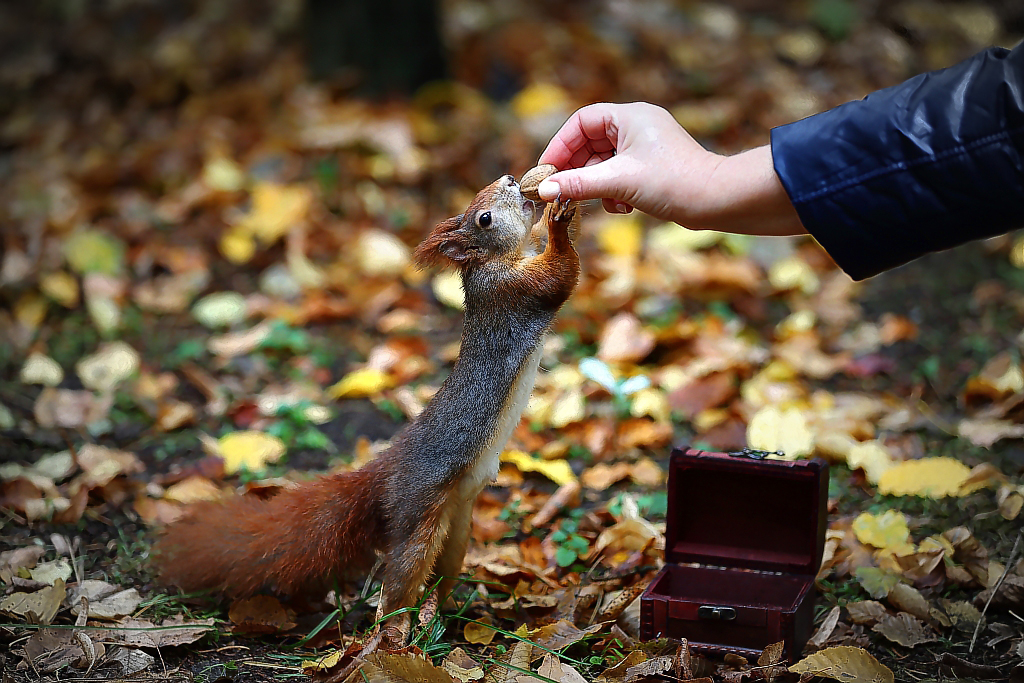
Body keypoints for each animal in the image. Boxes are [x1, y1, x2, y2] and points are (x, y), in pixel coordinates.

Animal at [149, 174, 581, 651]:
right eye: (483, 218)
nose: (509, 179)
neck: (493, 261)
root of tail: (386, 469)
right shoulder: (511, 290)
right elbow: (558, 277)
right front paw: (559, 219)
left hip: (457, 528)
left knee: (440, 578)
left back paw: (436, 619)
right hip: (417, 514)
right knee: (400, 583)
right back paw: (390, 640)